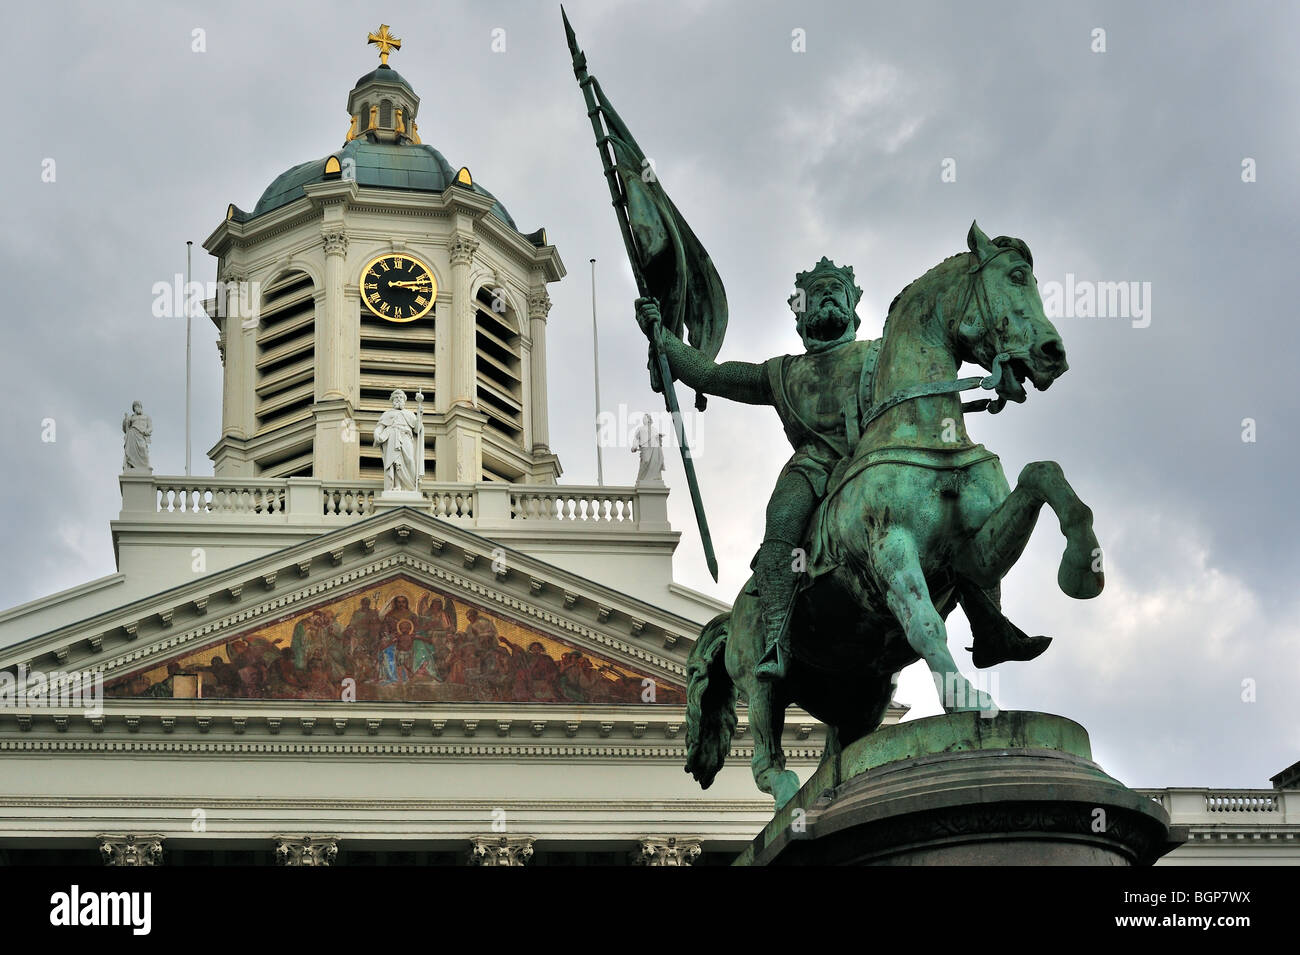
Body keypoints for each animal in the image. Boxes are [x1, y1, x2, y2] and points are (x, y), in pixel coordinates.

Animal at [686, 222, 1102, 805]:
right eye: (1017, 277)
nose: (1052, 353)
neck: (926, 430)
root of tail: (729, 618)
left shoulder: (971, 556)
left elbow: (1043, 474)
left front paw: (1083, 568)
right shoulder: (889, 546)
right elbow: (925, 625)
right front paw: (966, 699)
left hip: (862, 694)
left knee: (841, 746)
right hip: (759, 664)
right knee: (766, 727)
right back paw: (790, 792)